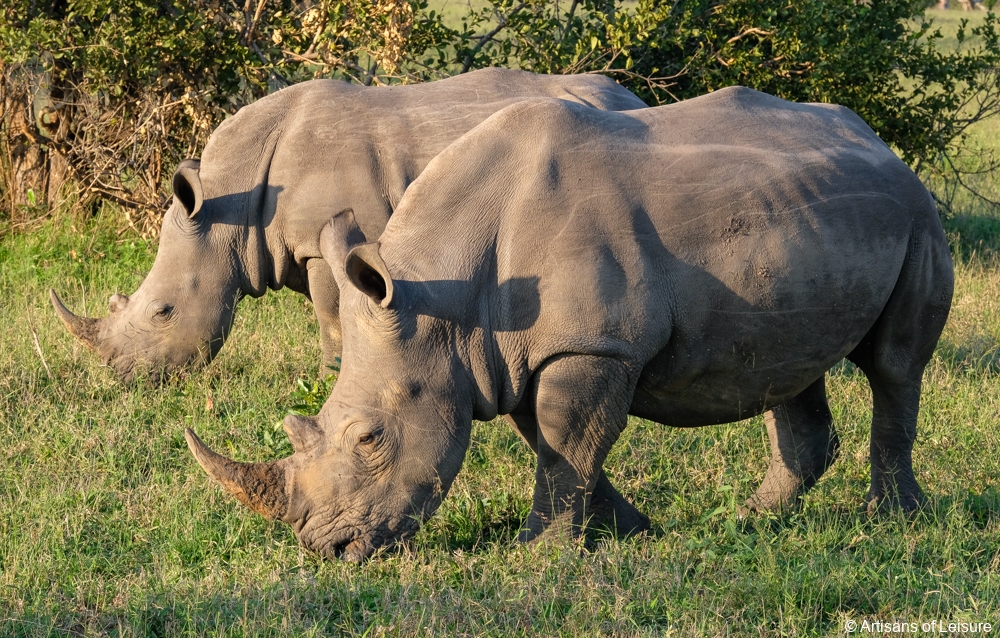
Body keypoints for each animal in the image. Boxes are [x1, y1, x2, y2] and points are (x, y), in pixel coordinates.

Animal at [50, 68, 644, 382]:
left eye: (163, 312)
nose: (123, 377)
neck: (227, 210)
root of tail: (631, 95)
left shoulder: (322, 243)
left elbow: (330, 314)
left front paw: (328, 379)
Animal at [186, 89, 952, 560]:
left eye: (370, 439)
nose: (327, 549)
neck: (443, 294)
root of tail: (878, 141)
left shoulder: (590, 347)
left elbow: (568, 441)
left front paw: (538, 553)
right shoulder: (513, 353)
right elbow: (557, 445)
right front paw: (633, 530)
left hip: (917, 215)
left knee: (894, 367)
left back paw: (893, 523)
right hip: (803, 220)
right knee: (787, 369)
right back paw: (753, 520)